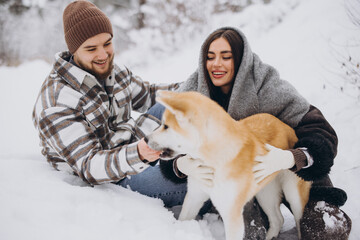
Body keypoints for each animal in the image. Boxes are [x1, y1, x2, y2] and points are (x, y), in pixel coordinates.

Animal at [145, 90, 310, 240]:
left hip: (294, 197)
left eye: (166, 126)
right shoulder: (194, 196)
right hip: (266, 193)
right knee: (277, 220)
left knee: (296, 219)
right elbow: (182, 220)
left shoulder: (231, 213)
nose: (145, 139)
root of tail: (288, 128)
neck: (214, 159)